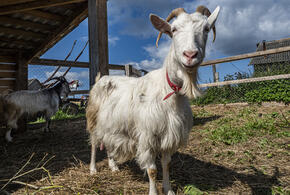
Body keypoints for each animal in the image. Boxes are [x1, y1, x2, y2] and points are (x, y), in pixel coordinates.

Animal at [86, 5, 220, 194]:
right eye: (174, 29)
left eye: (206, 29)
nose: (190, 55)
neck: (169, 90)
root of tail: (101, 78)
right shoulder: (147, 137)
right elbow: (152, 170)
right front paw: (154, 191)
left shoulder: (169, 137)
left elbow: (166, 164)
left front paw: (168, 189)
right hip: (93, 119)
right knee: (93, 143)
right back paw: (93, 169)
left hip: (112, 124)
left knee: (109, 142)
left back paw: (113, 166)